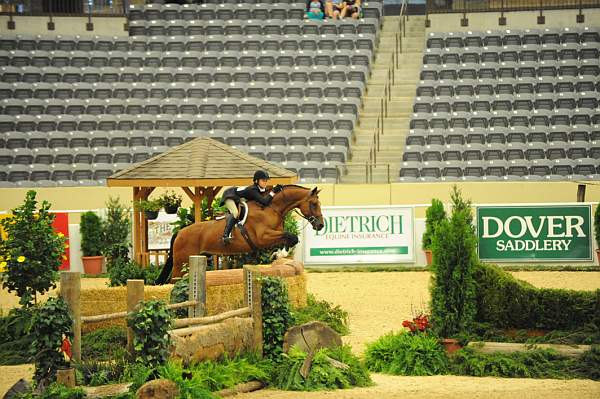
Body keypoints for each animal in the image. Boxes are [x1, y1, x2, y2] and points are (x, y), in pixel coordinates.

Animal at [155, 185, 324, 284]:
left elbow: (289, 238)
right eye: (314, 204)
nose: (321, 225)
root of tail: (179, 232)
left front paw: (278, 254)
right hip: (181, 263)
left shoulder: (275, 234)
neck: (271, 208)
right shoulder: (262, 237)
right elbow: (291, 236)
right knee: (173, 282)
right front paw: (279, 254)